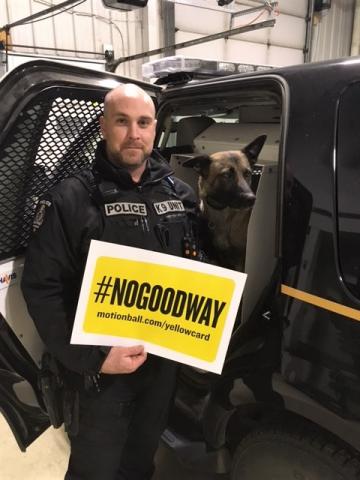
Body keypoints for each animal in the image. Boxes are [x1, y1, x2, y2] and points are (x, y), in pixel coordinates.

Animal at [184, 135, 266, 270]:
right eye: (227, 175)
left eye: (247, 174)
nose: (251, 199)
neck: (222, 214)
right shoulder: (218, 255)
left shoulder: (240, 260)